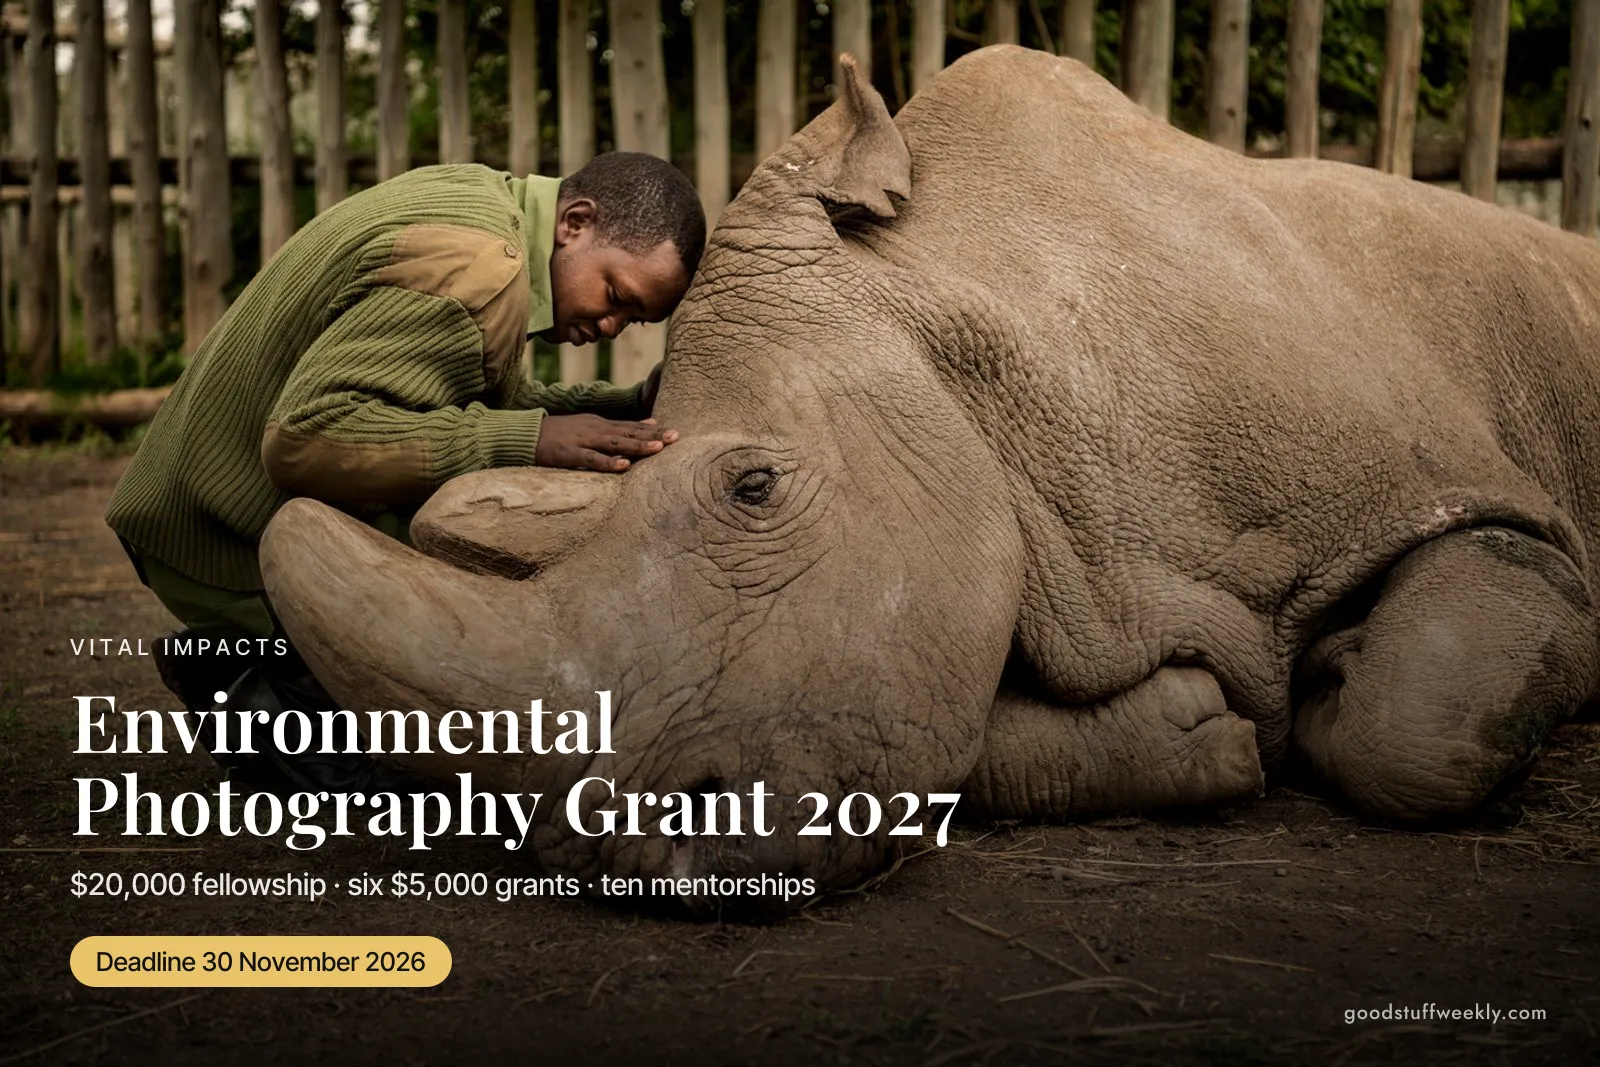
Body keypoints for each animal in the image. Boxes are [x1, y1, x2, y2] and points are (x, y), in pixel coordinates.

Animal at [260, 46, 1600, 908]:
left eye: (754, 488)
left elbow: (1414, 718)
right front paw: (1205, 732)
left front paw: (1333, 681)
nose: (642, 855)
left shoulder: (1455, 494)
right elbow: (941, 724)